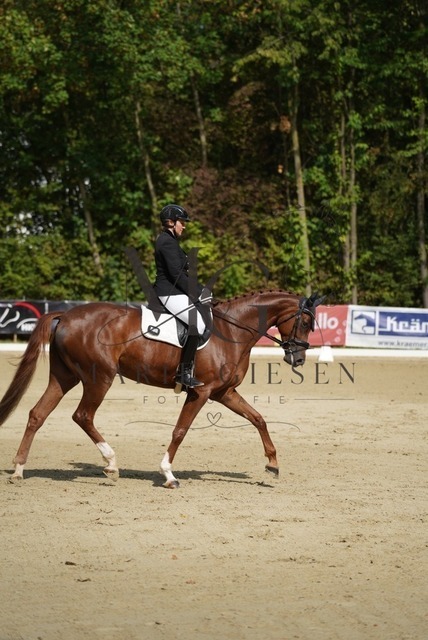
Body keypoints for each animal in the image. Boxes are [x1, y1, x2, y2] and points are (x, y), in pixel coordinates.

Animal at [0, 290, 323, 487]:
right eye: (306, 322)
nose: (298, 358)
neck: (231, 330)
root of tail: (65, 315)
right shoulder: (201, 392)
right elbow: (180, 431)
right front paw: (168, 474)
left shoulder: (224, 393)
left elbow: (258, 418)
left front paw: (273, 464)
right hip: (99, 377)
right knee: (82, 416)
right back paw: (111, 463)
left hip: (64, 376)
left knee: (37, 414)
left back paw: (18, 469)